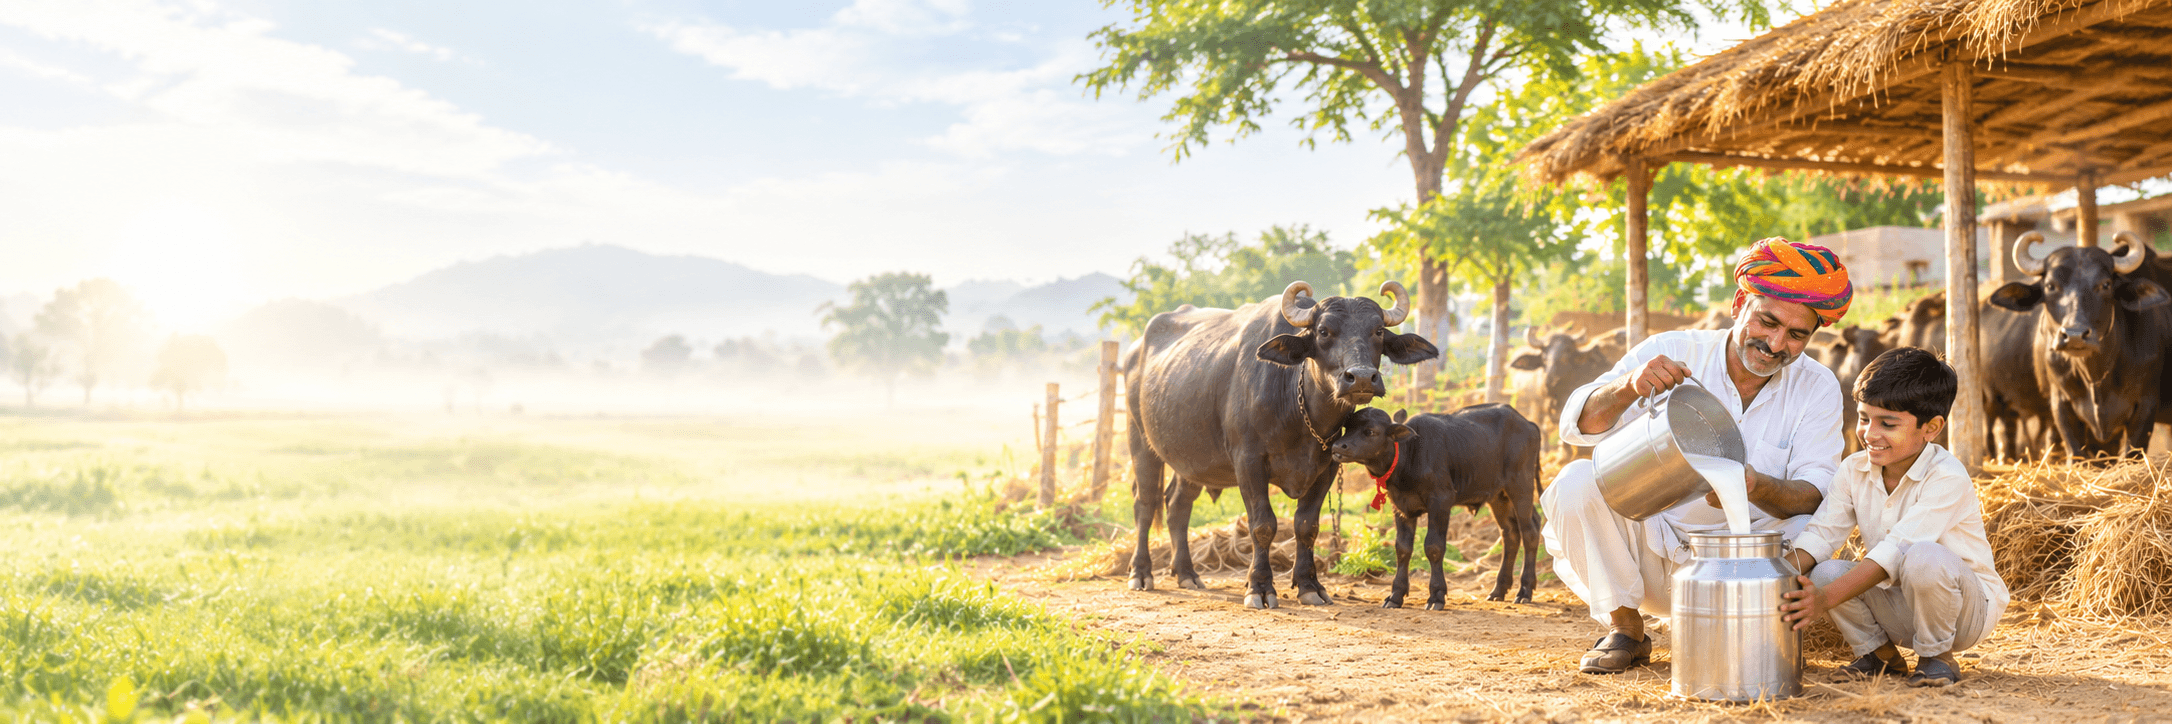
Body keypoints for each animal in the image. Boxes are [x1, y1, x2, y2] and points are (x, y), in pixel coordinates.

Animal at [1125, 281, 1439, 609]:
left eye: (1378, 331)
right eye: (1323, 331)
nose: (1363, 378)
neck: (1298, 411)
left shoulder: (1328, 466)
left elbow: (1306, 526)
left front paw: (1309, 585)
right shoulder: (1248, 461)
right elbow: (1263, 524)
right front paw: (1260, 587)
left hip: (1192, 459)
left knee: (1177, 505)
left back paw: (1187, 573)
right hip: (1139, 438)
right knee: (1145, 502)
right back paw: (1141, 573)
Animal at [1329, 405, 1543, 607]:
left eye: (1370, 431)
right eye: (1347, 427)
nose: (1338, 446)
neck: (1410, 455)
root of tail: (1529, 424)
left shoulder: (1441, 501)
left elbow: (1434, 546)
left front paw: (1436, 595)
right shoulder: (1401, 506)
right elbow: (1402, 548)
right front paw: (1395, 595)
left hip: (1521, 485)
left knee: (1530, 531)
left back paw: (1525, 591)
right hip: (1498, 496)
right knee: (1510, 534)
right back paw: (1499, 590)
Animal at [1989, 231, 2171, 461]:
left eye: (2105, 284)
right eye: (2050, 286)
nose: (2075, 336)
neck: (2096, 375)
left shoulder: (2146, 404)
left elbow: (2131, 453)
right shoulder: (2061, 404)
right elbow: (2076, 453)